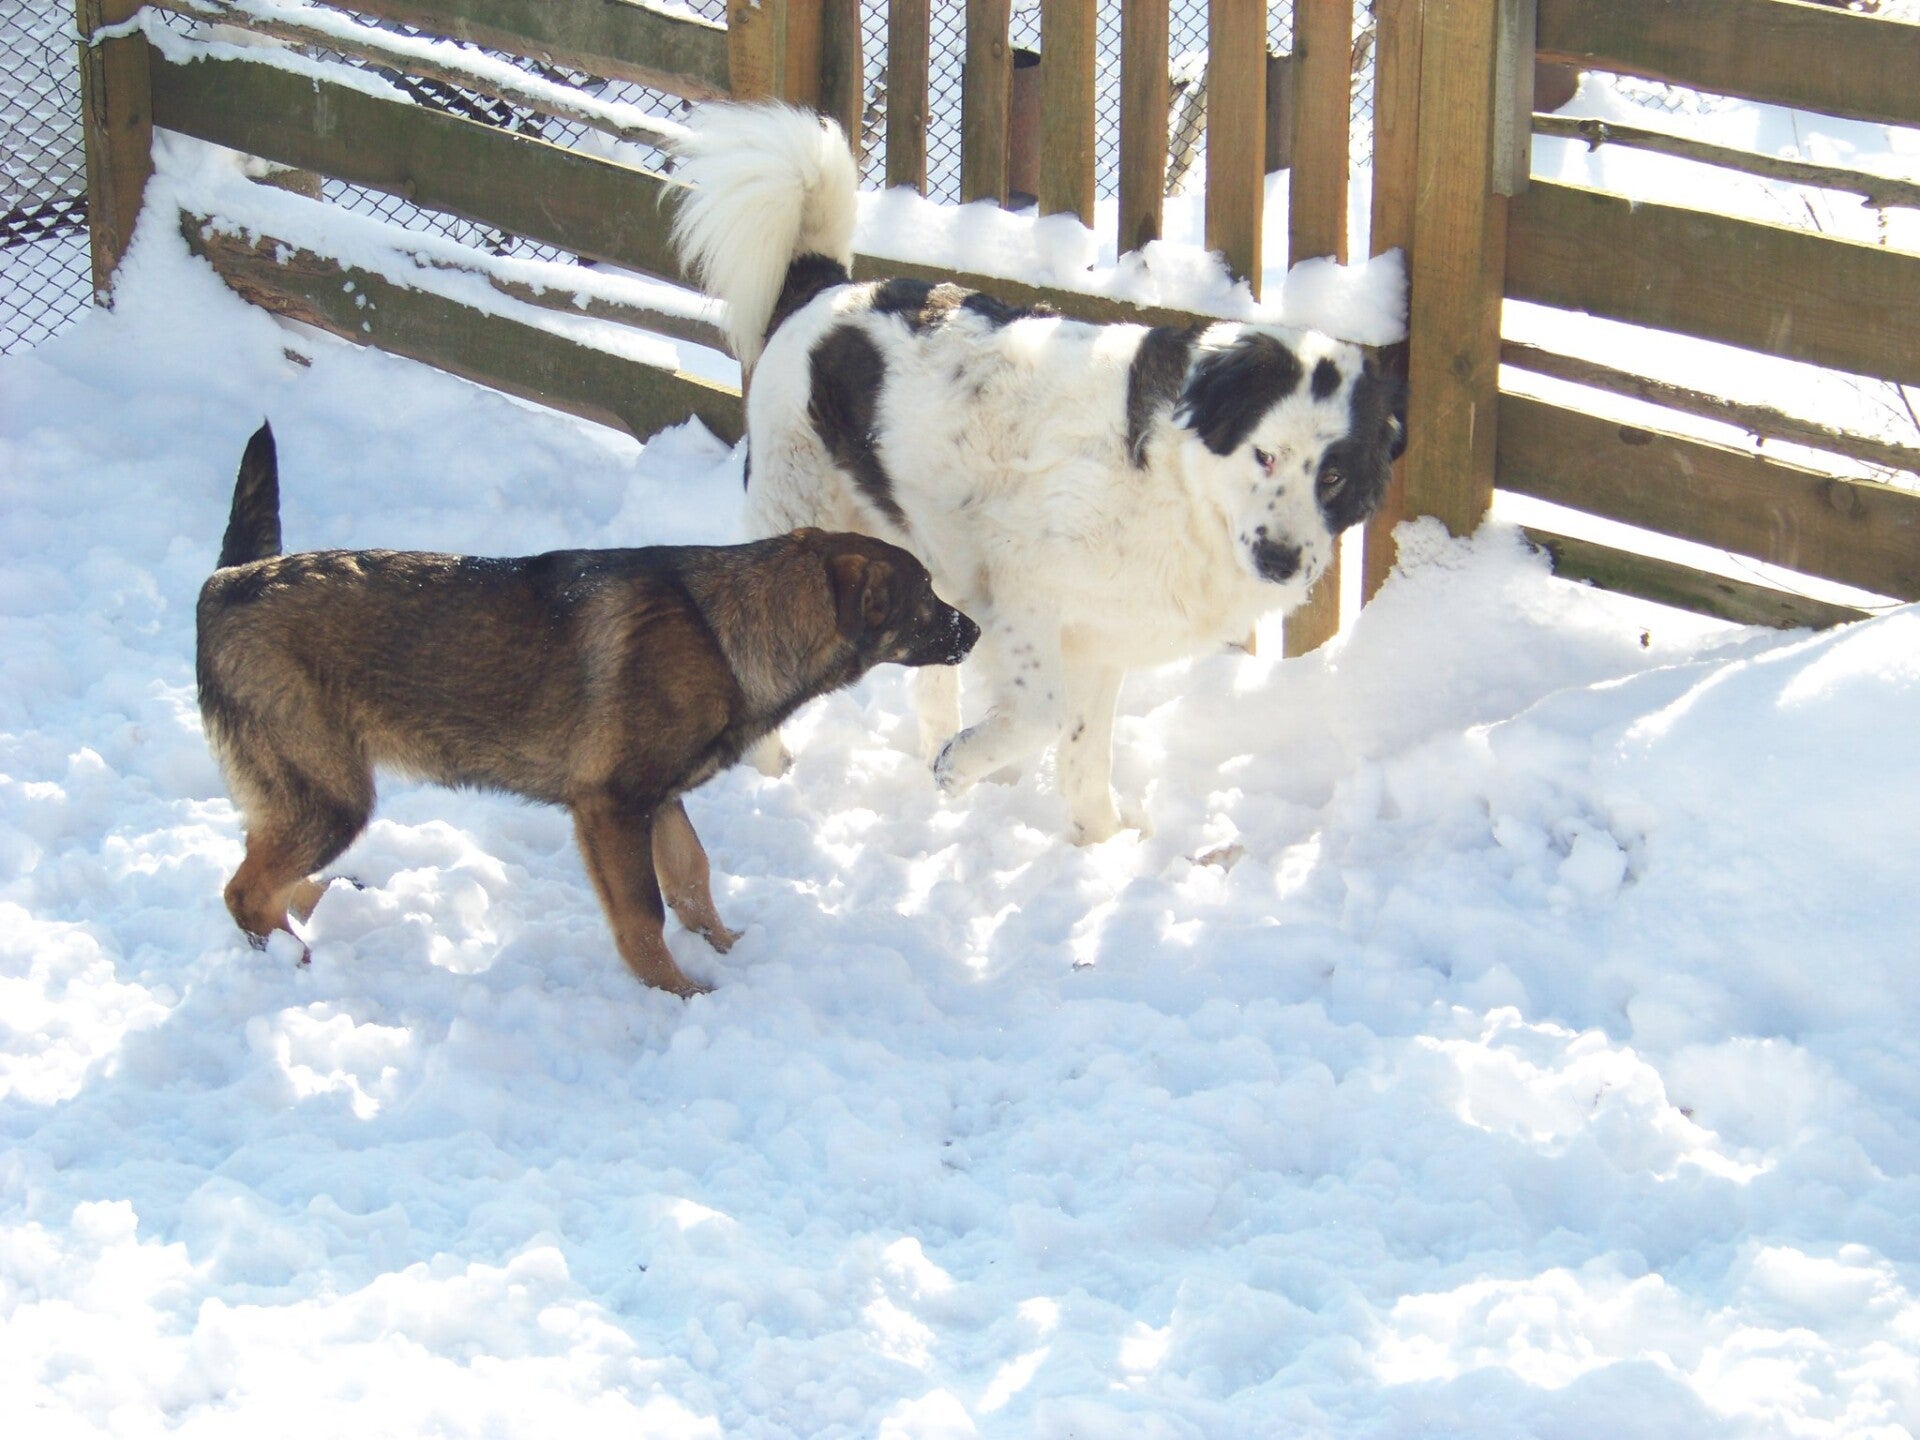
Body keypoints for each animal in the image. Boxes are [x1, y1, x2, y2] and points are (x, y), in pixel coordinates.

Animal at [196, 423, 979, 996]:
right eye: (925, 596)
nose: (974, 631)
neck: (726, 630)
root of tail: (228, 579)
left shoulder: (658, 801)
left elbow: (692, 880)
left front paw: (726, 948)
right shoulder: (611, 806)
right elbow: (643, 913)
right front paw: (680, 993)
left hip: (306, 794)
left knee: (265, 869)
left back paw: (324, 902)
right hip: (329, 794)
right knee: (244, 892)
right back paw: (298, 965)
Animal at [669, 103, 1407, 842]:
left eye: (1334, 477)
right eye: (1265, 455)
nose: (1283, 559)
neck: (1177, 484)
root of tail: (825, 287)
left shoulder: (1100, 636)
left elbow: (1085, 753)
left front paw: (1099, 843)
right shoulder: (1027, 589)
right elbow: (1045, 714)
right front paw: (964, 763)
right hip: (796, 508)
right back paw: (774, 768)